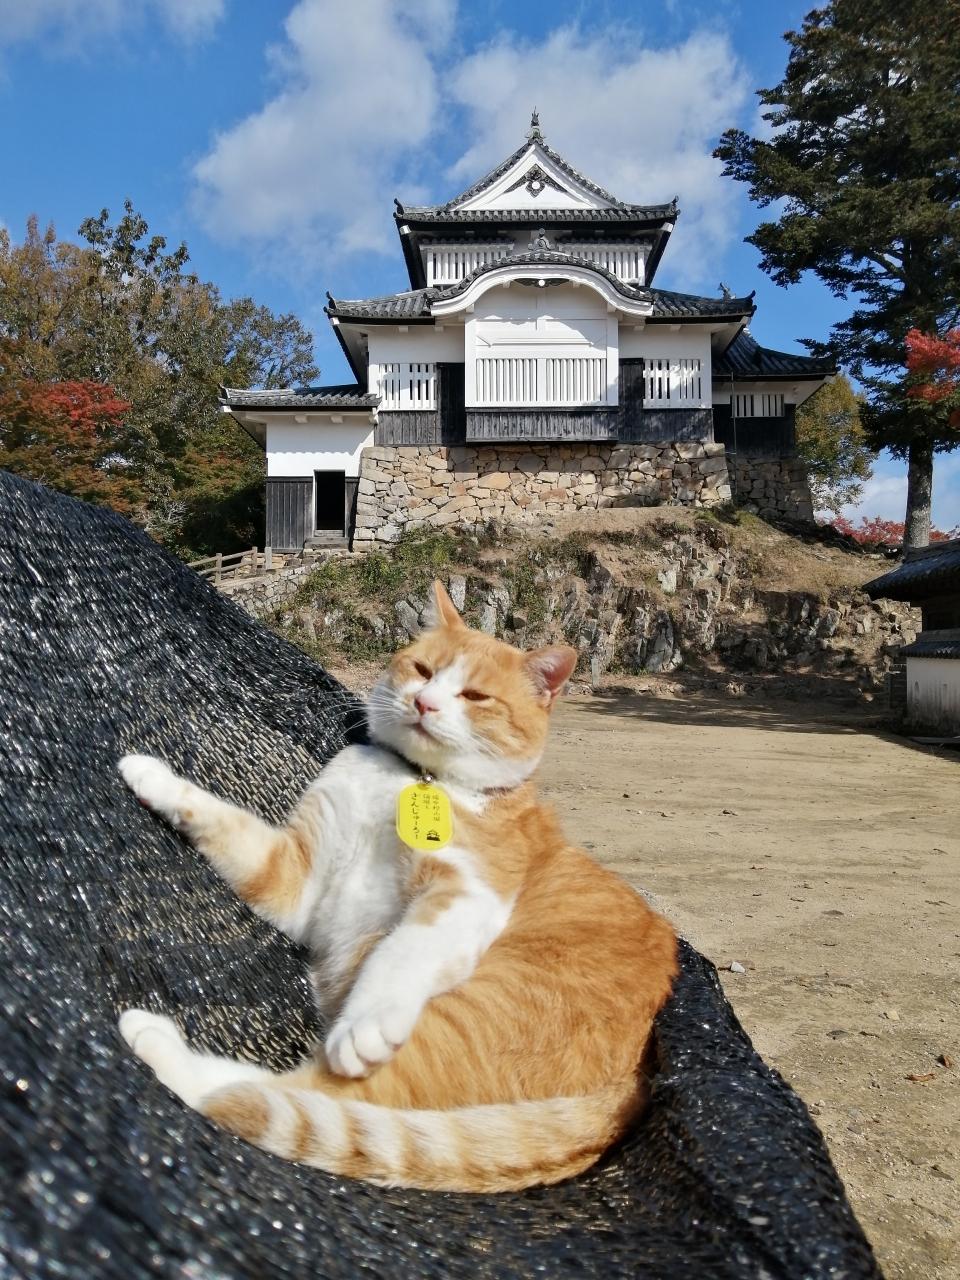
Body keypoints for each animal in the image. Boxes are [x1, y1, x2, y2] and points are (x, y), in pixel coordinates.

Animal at [117, 579, 678, 1192]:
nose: (425, 703)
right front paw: (152, 776)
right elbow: (223, 819)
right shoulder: (297, 880)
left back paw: (157, 1042)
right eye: (423, 668)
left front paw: (366, 1019)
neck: (413, 780)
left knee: (294, 1098)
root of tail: (636, 1086)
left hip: (461, 1026)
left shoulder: (467, 892)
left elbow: (401, 951)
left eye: (476, 696)